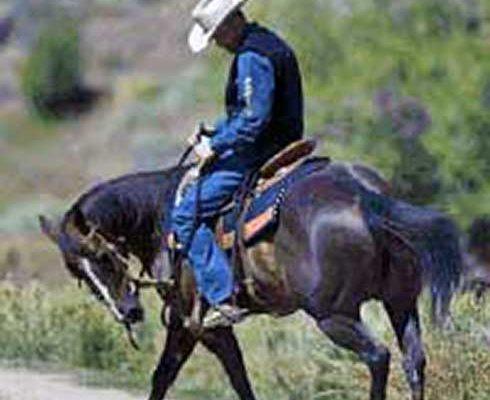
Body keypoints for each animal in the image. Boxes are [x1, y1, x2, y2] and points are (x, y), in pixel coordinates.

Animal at [39, 159, 464, 400]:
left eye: (102, 257)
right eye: (78, 274)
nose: (128, 313)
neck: (162, 215)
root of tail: (363, 196)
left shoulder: (196, 324)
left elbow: (211, 376)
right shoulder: (195, 326)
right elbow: (173, 376)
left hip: (334, 316)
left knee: (378, 357)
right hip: (400, 303)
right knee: (413, 360)